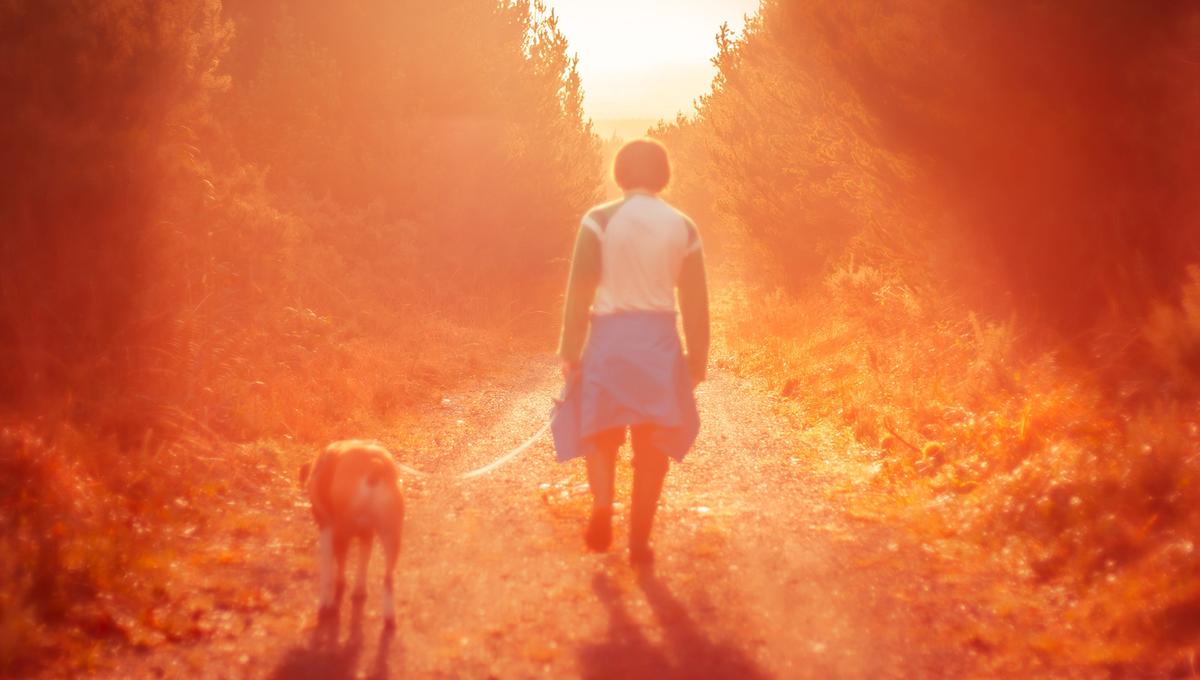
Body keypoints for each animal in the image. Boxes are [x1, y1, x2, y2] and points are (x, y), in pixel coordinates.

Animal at [298, 441, 403, 628]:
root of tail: (375, 465)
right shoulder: (367, 535)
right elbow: (362, 563)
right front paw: (359, 591)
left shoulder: (327, 530)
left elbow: (328, 568)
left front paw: (326, 601)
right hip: (391, 537)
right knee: (388, 579)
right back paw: (389, 617)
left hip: (341, 531)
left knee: (340, 562)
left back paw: (331, 605)